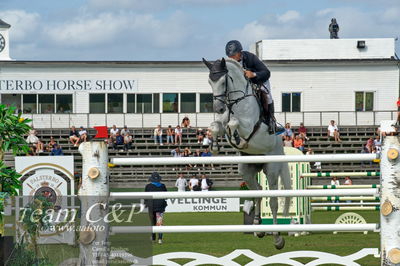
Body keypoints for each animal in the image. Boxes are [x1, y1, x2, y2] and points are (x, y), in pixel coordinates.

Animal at [203, 57, 290, 249]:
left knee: (273, 201)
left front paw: (239, 140)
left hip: (271, 169)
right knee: (257, 192)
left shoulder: (249, 126)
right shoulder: (222, 123)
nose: (218, 109)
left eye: (223, 81)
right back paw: (258, 227)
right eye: (210, 81)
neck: (235, 102)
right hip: (247, 171)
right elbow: (216, 126)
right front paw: (214, 147)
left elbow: (234, 123)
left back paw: (277, 237)